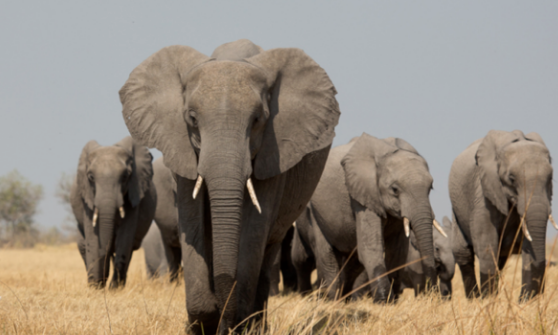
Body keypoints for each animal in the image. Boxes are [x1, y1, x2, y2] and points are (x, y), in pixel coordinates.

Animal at [71, 136, 158, 288]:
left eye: (125, 176)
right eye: (91, 177)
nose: (101, 282)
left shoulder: (134, 193)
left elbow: (125, 237)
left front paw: (114, 289)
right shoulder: (87, 197)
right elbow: (93, 237)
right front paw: (95, 288)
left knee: (128, 249)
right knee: (83, 246)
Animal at [119, 38, 342, 334]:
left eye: (258, 120)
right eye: (192, 119)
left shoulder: (274, 154)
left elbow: (253, 230)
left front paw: (233, 323)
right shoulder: (183, 149)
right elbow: (193, 223)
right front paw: (202, 322)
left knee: (267, 250)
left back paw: (256, 326)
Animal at [302, 135, 446, 304]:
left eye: (430, 188)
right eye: (395, 190)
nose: (434, 294)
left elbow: (397, 252)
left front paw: (392, 300)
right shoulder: (363, 195)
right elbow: (371, 248)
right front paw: (383, 301)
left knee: (353, 262)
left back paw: (346, 300)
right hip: (316, 212)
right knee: (328, 257)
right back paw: (332, 301)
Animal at [450, 130, 556, 300]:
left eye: (550, 178)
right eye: (511, 179)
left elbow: (529, 246)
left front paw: (526, 302)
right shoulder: (484, 193)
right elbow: (487, 244)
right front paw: (488, 301)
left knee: (500, 259)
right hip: (457, 208)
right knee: (463, 252)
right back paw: (475, 299)